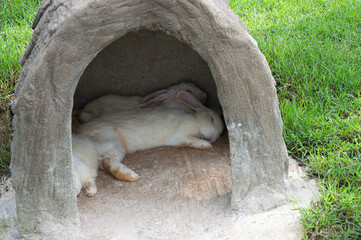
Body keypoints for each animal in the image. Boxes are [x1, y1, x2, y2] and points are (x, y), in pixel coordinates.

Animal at [77, 91, 222, 181]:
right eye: (211, 119)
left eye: (221, 133)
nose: (212, 139)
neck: (194, 121)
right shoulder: (180, 136)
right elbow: (191, 141)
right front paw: (206, 145)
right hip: (113, 143)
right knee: (107, 162)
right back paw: (131, 176)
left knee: (104, 163)